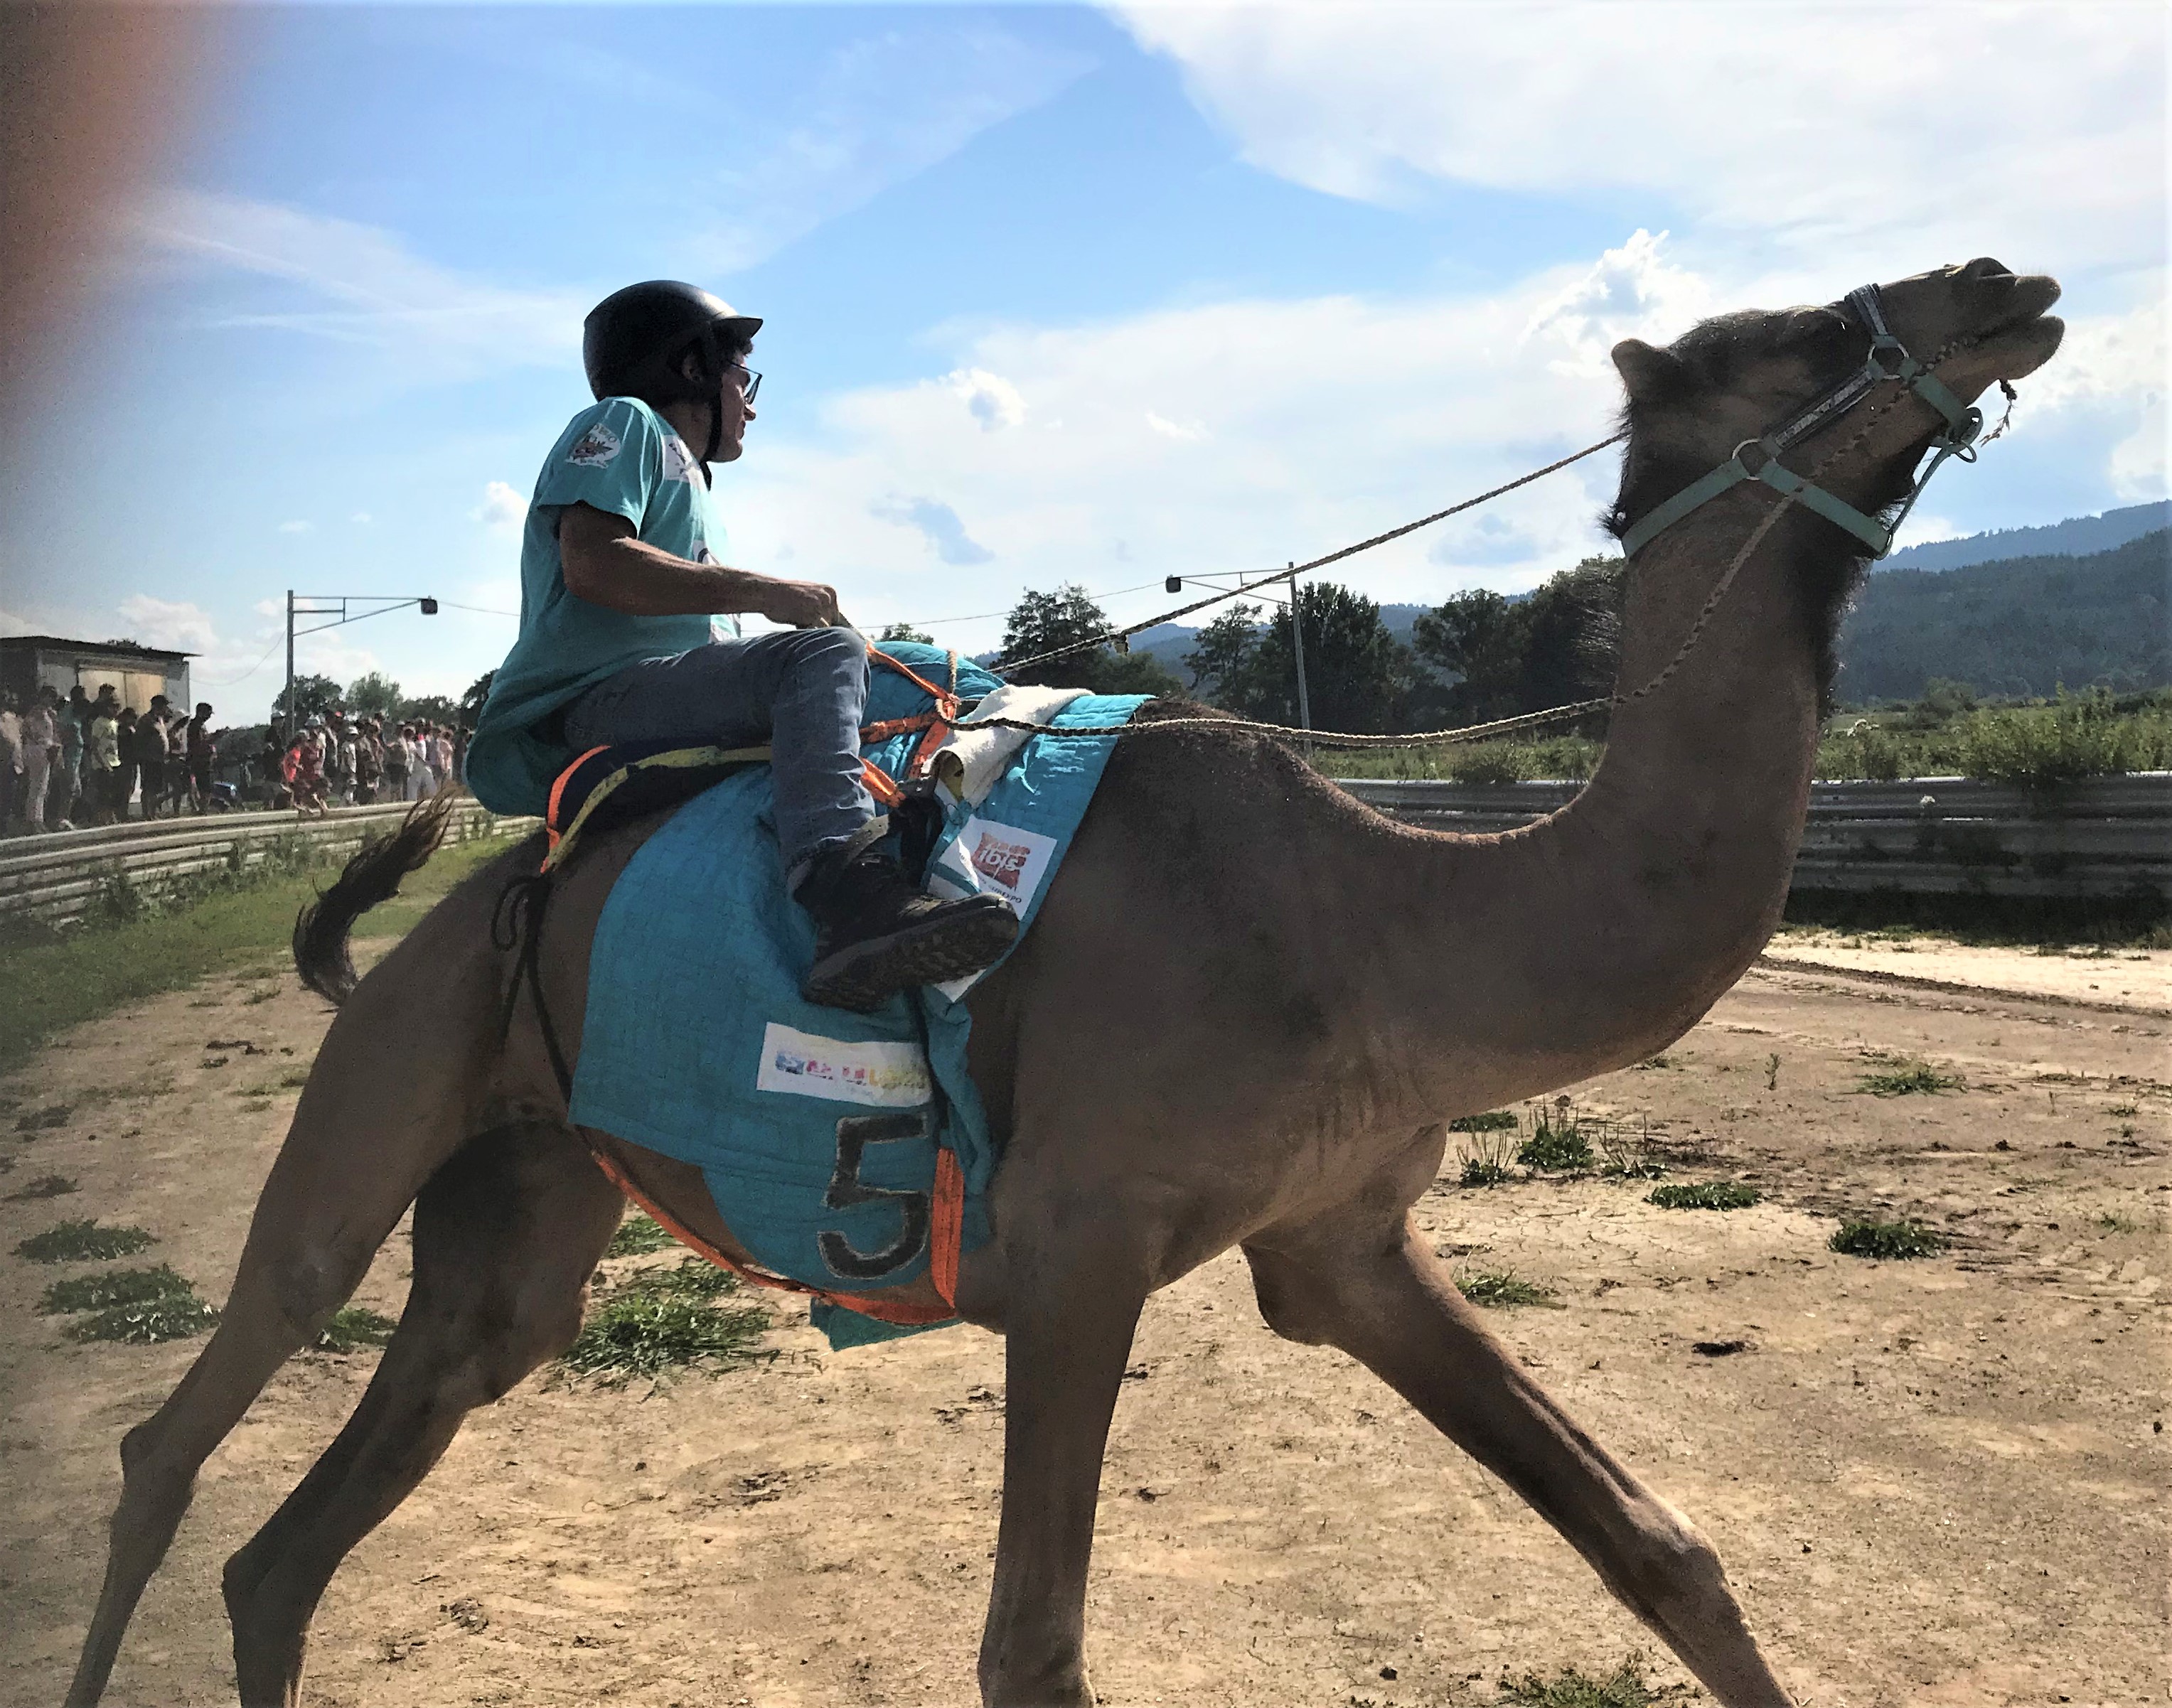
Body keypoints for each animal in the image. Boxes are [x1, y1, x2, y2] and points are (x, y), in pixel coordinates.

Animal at [65, 258, 2062, 1708]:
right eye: (1796, 332)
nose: (2005, 276)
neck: (1371, 922)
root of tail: (452, 915)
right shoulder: (1074, 1244)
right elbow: (1030, 1648)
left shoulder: (1343, 1237)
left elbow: (1659, 1547)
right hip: (394, 1089)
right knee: (186, 1420)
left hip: (527, 1191)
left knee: (310, 1523)